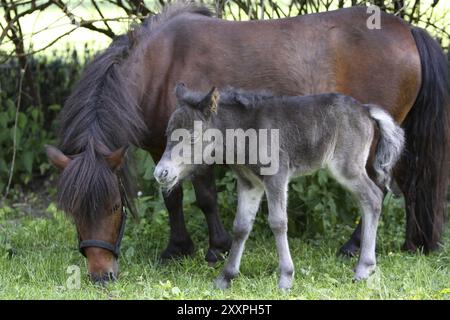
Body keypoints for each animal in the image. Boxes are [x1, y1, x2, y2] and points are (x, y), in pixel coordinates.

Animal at [155, 84, 404, 288]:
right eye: (167, 134)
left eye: (192, 138)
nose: (160, 173)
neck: (244, 135)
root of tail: (365, 109)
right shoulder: (249, 183)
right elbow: (241, 226)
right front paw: (225, 278)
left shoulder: (276, 176)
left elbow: (277, 222)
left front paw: (285, 278)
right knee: (371, 198)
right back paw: (367, 267)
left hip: (347, 166)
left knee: (373, 197)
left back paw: (363, 269)